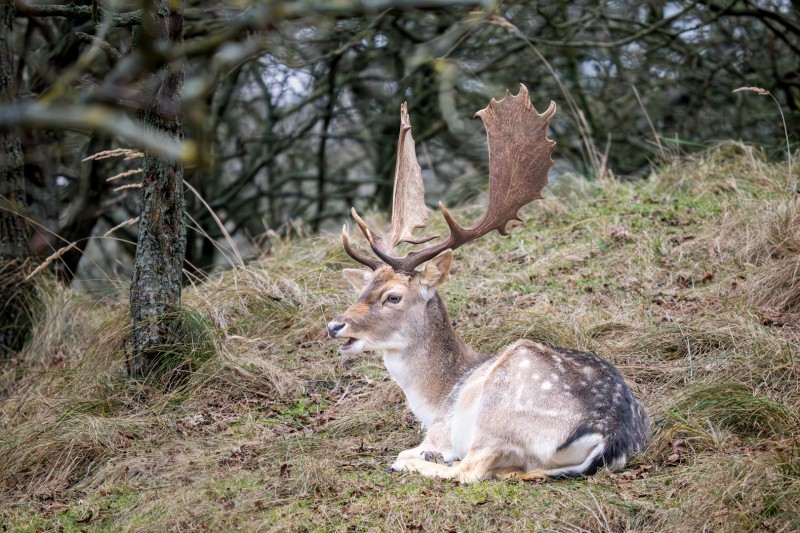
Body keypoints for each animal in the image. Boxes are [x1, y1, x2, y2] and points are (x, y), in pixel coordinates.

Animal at [326, 84, 648, 482]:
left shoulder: (443, 428)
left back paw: (415, 461)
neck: (438, 397)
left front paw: (416, 456)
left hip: (501, 402)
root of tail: (609, 435)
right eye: (363, 288)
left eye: (394, 297)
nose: (335, 325)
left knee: (470, 469)